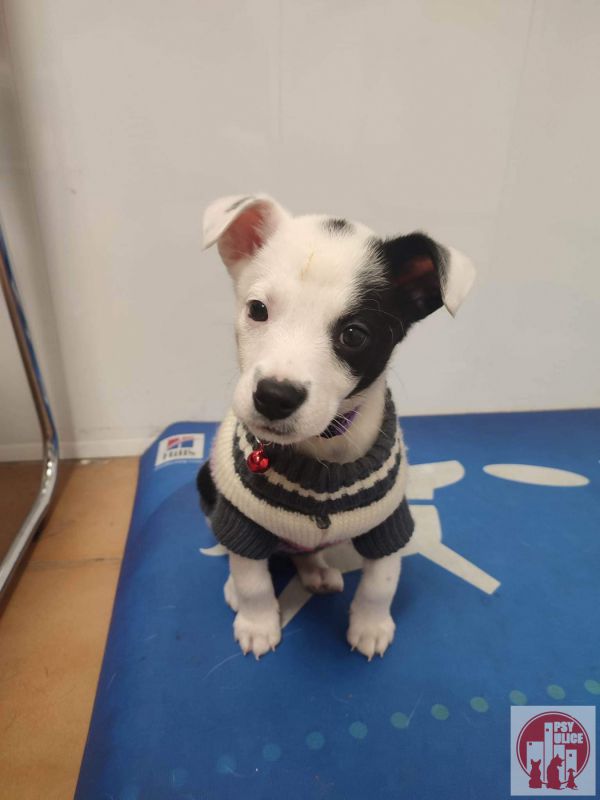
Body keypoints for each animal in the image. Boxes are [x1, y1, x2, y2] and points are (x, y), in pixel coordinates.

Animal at [197, 194, 475, 660]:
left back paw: (316, 571)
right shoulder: (242, 520)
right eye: (257, 310)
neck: (322, 450)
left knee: (304, 553)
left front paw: (371, 626)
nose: (274, 396)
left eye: (354, 335)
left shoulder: (389, 522)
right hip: (207, 483)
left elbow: (381, 581)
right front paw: (257, 622)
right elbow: (252, 578)